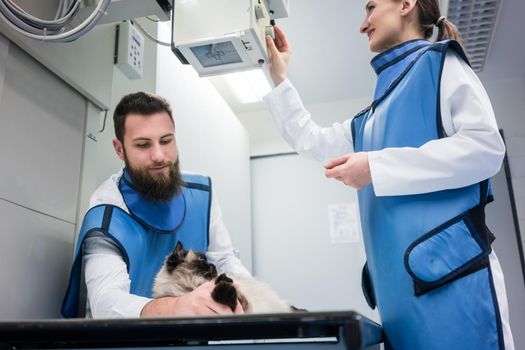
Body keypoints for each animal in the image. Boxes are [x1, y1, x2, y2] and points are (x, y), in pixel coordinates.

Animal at [151, 242, 292, 314]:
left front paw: (224, 282)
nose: (214, 266)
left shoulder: (245, 305)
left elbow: (233, 292)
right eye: (202, 260)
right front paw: (222, 288)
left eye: (206, 260)